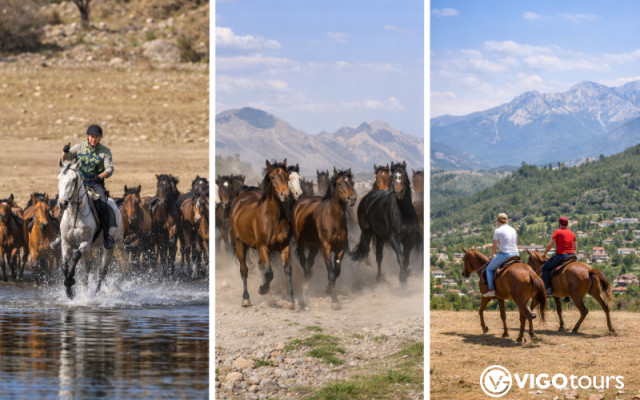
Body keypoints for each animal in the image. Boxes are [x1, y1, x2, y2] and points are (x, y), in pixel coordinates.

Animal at [56, 160, 123, 298]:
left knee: (102, 271)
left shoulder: (85, 243)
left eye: (73, 179)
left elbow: (75, 257)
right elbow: (64, 265)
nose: (62, 203)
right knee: (87, 271)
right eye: (59, 178)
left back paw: (97, 292)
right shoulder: (66, 243)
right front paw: (69, 291)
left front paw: (70, 281)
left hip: (109, 248)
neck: (75, 215)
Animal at [229, 159, 294, 309]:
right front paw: (262, 289)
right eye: (272, 177)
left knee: (260, 265)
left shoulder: (284, 246)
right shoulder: (262, 246)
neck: (274, 219)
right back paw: (246, 299)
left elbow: (287, 270)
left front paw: (291, 301)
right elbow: (269, 272)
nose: (284, 194)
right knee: (244, 270)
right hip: (240, 243)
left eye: (287, 176)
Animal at [292, 168, 356, 309]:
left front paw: (327, 289)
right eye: (339, 183)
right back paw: (306, 283)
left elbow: (336, 271)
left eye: (352, 183)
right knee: (303, 260)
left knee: (310, 261)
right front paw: (335, 301)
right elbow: (331, 273)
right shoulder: (326, 248)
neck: (333, 219)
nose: (352, 199)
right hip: (300, 241)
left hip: (314, 246)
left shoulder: (340, 248)